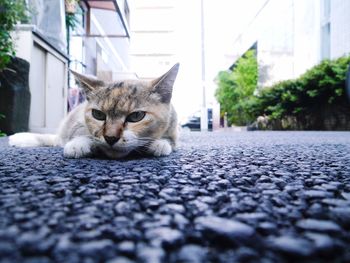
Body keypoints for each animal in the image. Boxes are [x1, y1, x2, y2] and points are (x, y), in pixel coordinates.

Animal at [9, 63, 179, 159]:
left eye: (136, 116)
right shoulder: (78, 122)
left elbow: (170, 140)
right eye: (98, 114)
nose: (110, 138)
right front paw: (78, 145)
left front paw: (159, 144)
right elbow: (80, 133)